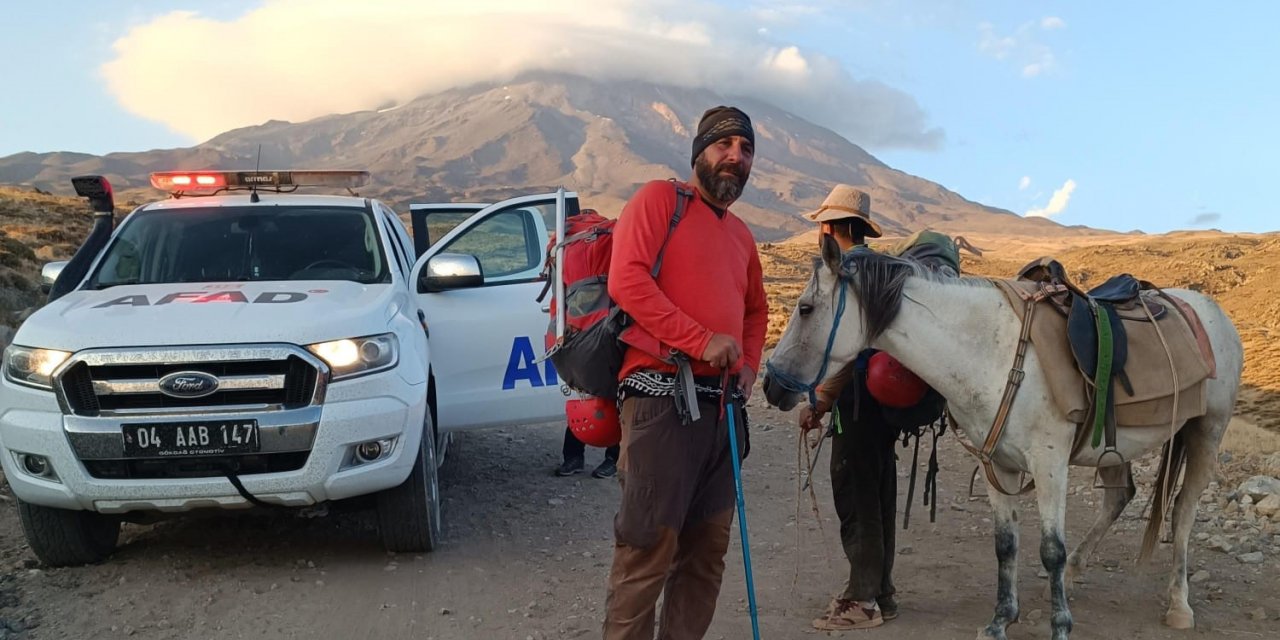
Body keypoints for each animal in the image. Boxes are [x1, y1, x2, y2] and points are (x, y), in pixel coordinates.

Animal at [762, 239, 1244, 640]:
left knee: (1182, 513)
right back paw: (1076, 571)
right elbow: (1005, 545)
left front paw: (1060, 626)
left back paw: (1178, 605)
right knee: (1120, 496)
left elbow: (1050, 549)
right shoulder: (998, 465)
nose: (770, 386)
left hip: (1206, 431)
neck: (988, 352)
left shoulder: (1049, 464)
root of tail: (1213, 312)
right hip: (1113, 445)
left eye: (805, 308)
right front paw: (999, 621)